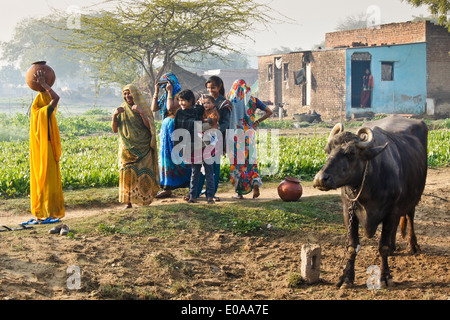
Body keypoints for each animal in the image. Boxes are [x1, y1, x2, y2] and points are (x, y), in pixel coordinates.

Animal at [312, 115, 428, 288]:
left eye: (351, 153)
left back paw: (413, 245)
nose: (320, 179)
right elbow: (352, 246)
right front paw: (346, 277)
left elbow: (383, 246)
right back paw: (394, 246)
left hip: (413, 197)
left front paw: (385, 276)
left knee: (409, 216)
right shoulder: (348, 212)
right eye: (328, 150)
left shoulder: (392, 211)